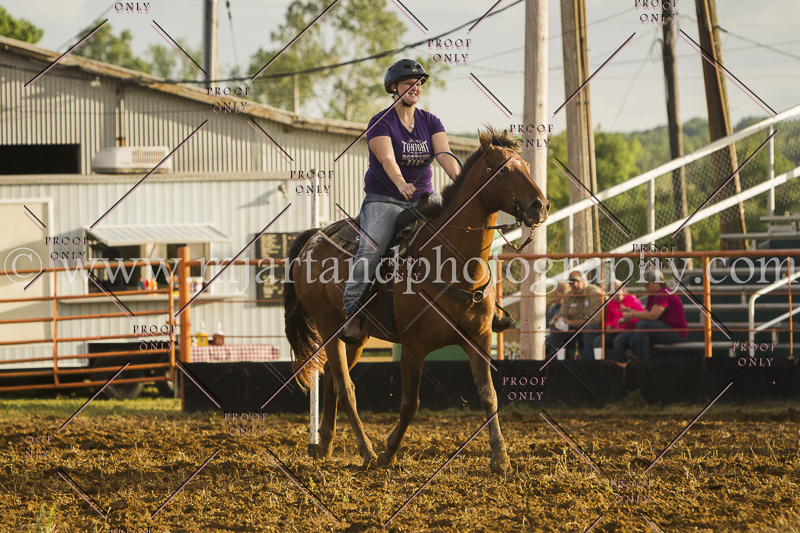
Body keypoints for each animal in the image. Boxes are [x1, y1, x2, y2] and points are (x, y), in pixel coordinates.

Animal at [283, 128, 549, 473]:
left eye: (528, 167)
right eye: (503, 170)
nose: (540, 206)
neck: (451, 263)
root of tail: (312, 238)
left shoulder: (479, 339)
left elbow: (488, 395)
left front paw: (500, 458)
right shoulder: (412, 346)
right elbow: (410, 403)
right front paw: (388, 453)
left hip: (356, 336)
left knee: (331, 378)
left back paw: (325, 445)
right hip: (328, 324)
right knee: (345, 385)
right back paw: (367, 452)